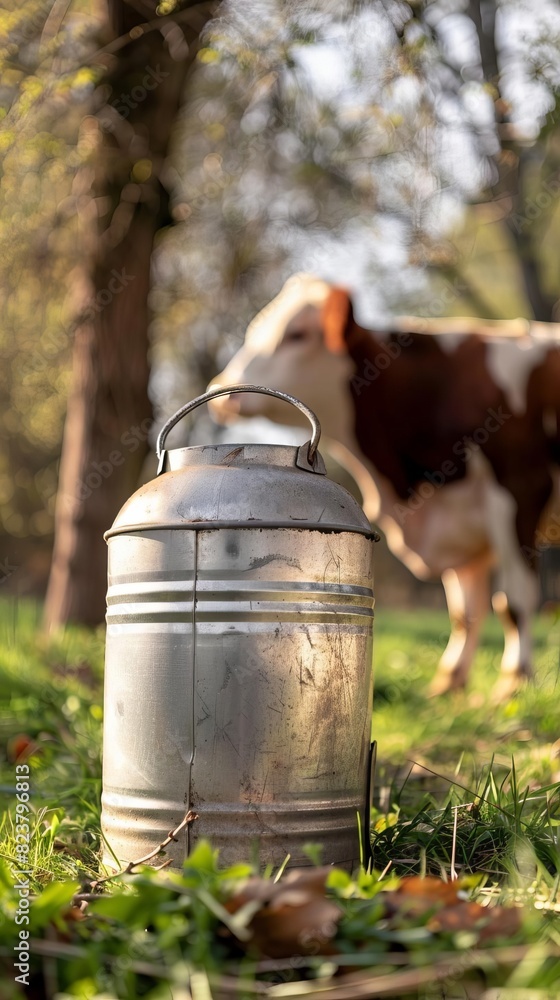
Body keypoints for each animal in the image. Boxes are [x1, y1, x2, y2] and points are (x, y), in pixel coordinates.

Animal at [209, 273, 560, 699]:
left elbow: (514, 601)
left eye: (297, 334)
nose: (221, 393)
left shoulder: (521, 489)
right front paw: (448, 683)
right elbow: (465, 611)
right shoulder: (459, 522)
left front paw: (513, 683)